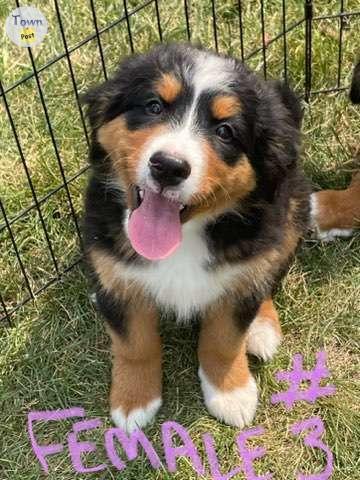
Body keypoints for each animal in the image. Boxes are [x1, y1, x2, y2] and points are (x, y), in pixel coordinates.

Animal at [82, 44, 310, 432]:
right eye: (154, 106)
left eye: (225, 131)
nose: (169, 166)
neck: (183, 238)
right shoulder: (116, 273)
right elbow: (134, 344)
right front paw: (133, 401)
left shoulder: (243, 269)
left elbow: (225, 339)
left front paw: (231, 393)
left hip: (290, 213)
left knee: (267, 276)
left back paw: (262, 328)